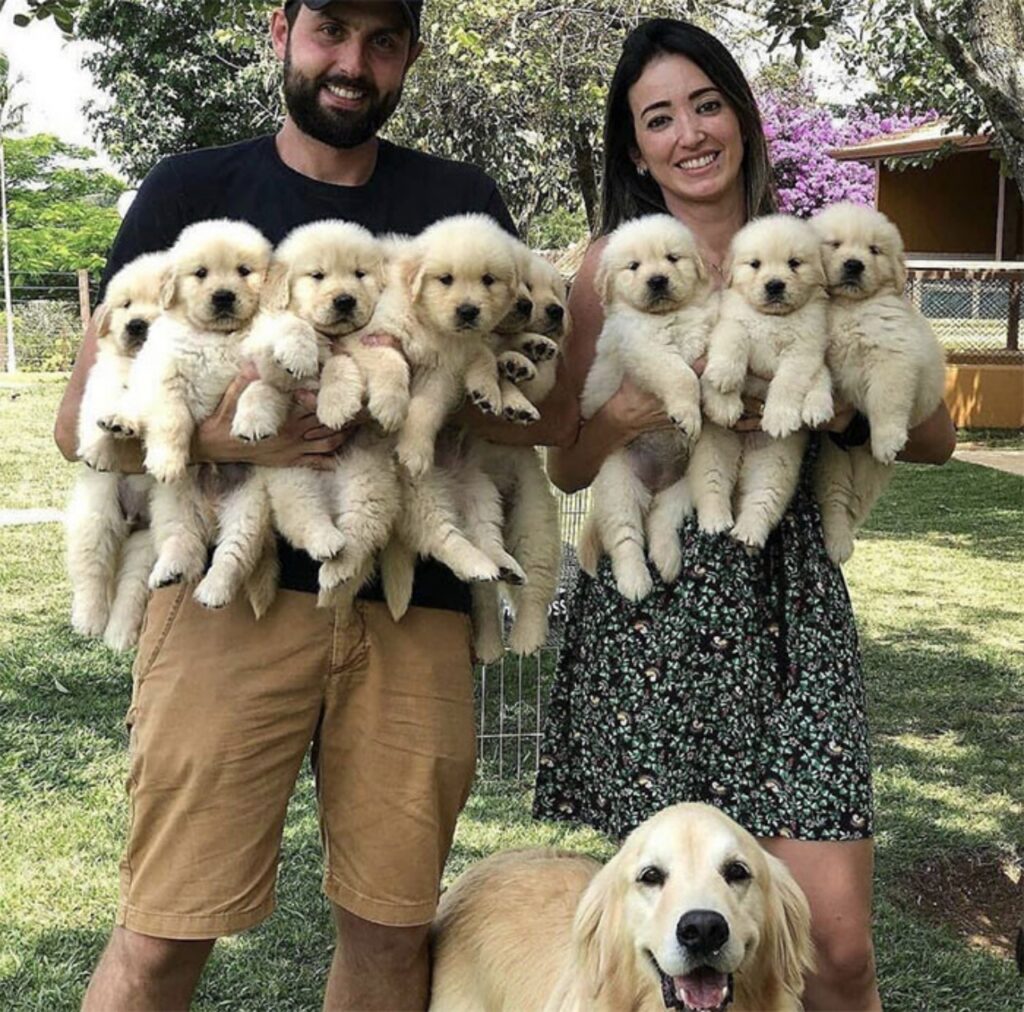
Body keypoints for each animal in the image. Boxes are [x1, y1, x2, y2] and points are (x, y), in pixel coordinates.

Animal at [66, 255, 164, 647]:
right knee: (92, 574)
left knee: (130, 589)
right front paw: (99, 449)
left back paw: (118, 635)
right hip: (96, 518)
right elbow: (101, 406)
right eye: (126, 304)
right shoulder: (103, 379)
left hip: (146, 544)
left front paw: (124, 422)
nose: (137, 325)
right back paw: (89, 621)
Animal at [577, 211, 712, 594]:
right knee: (625, 537)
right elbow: (680, 374)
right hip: (617, 481)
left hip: (684, 484)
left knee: (661, 521)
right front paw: (687, 414)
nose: (657, 281)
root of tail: (654, 484)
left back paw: (667, 561)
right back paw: (635, 580)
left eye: (672, 258)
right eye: (633, 266)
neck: (668, 316)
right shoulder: (643, 347)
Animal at [696, 217, 831, 549]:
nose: (774, 285)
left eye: (794, 263)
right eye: (755, 264)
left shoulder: (803, 351)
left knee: (762, 501)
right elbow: (733, 340)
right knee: (712, 486)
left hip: (775, 467)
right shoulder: (730, 323)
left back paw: (748, 534)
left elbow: (787, 383)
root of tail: (744, 456)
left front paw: (779, 417)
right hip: (712, 451)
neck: (773, 319)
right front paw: (724, 388)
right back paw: (716, 522)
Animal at [811, 197, 946, 561]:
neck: (848, 307)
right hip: (831, 462)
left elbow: (887, 400)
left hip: (869, 471)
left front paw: (888, 440)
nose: (854, 265)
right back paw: (838, 542)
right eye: (835, 244)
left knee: (854, 504)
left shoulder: (892, 358)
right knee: (835, 501)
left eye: (874, 250)